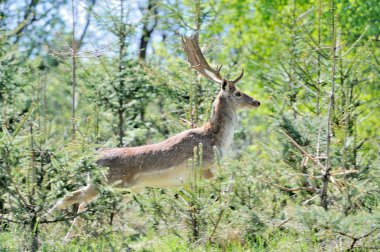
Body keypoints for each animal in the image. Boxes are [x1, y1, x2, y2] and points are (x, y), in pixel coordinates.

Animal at [48, 32, 262, 239]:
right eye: (238, 93)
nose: (257, 102)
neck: (216, 140)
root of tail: (93, 158)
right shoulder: (202, 169)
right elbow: (227, 186)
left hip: (107, 186)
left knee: (73, 199)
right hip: (105, 183)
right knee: (78, 202)